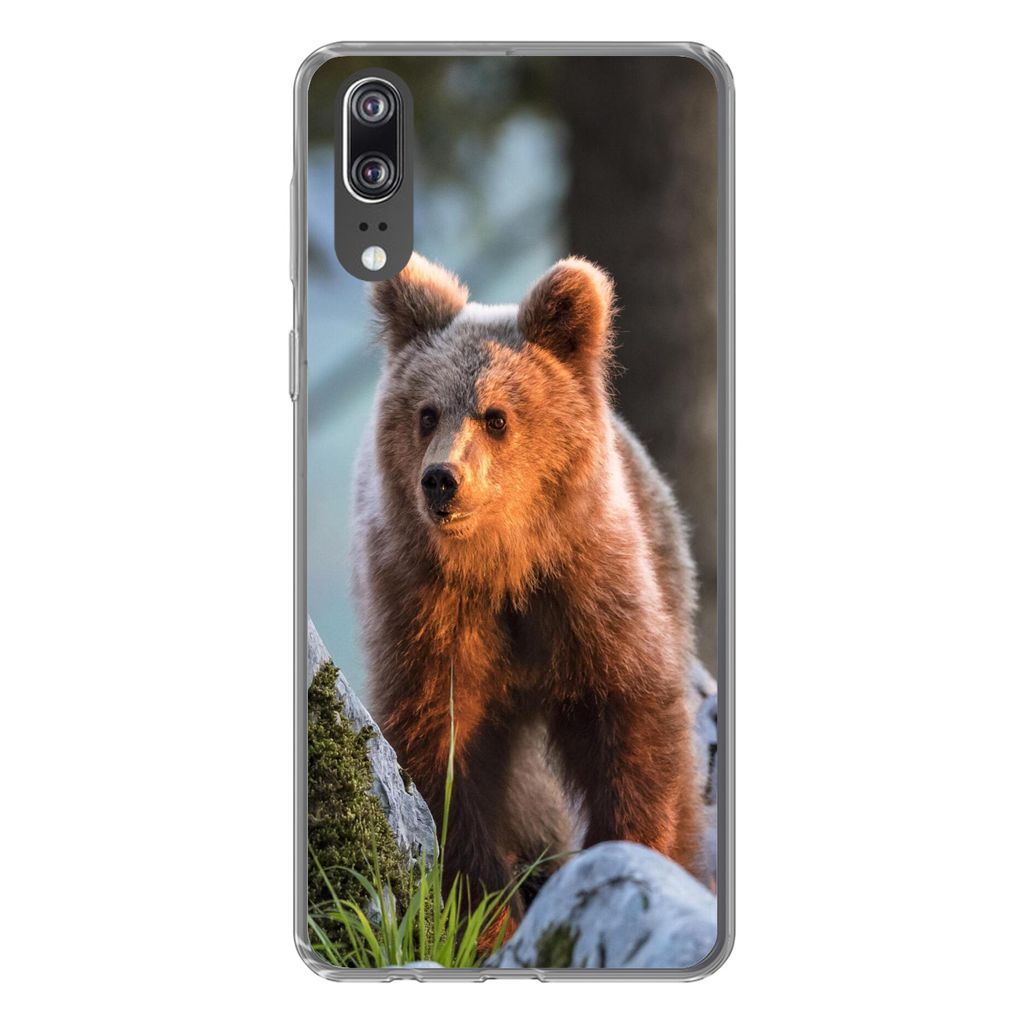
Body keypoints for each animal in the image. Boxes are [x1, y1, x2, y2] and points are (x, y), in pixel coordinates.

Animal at [352, 252, 706, 909]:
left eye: (496, 417)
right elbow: (443, 752)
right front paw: (488, 903)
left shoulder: (587, 586)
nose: (442, 480)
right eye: (427, 413)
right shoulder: (427, 610)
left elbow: (633, 720)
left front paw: (635, 849)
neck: (503, 565)